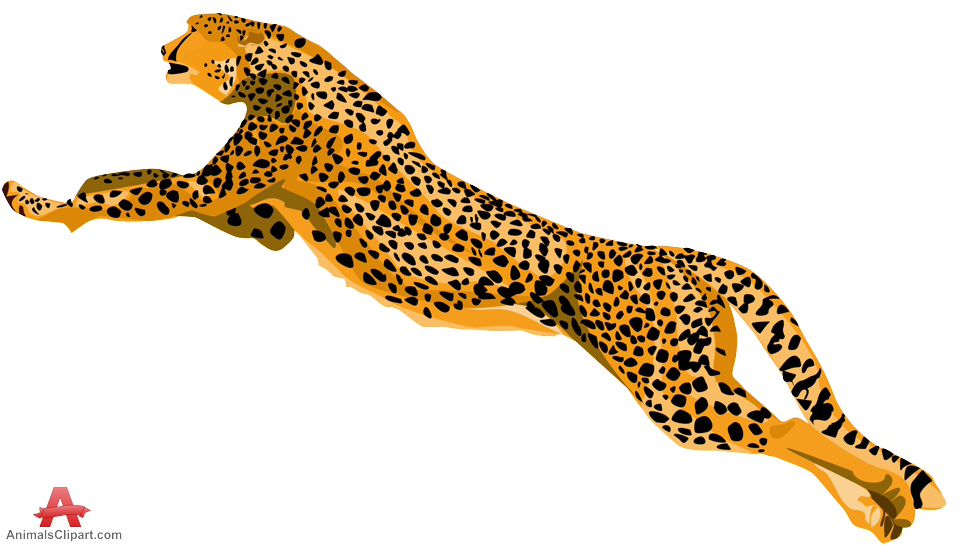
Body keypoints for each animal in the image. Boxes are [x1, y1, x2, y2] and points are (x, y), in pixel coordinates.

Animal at [1, 13, 947, 542]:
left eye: (190, 34)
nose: (165, 50)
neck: (271, 56)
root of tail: (687, 255)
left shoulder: (226, 190)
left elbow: (151, 186)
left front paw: (43, 201)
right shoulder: (260, 214)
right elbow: (134, 179)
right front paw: (82, 192)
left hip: (671, 387)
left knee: (786, 427)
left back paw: (890, 495)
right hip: (694, 371)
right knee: (785, 427)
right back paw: (884, 504)